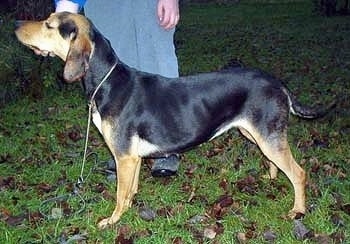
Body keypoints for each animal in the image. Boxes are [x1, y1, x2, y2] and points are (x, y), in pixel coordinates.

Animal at [16, 11, 334, 229]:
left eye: (49, 25)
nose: (16, 26)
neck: (107, 81)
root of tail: (278, 83)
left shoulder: (124, 156)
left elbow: (119, 195)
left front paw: (112, 221)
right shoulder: (132, 158)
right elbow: (129, 191)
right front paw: (127, 211)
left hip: (267, 136)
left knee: (299, 173)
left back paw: (297, 211)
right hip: (255, 133)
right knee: (275, 163)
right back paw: (270, 178)